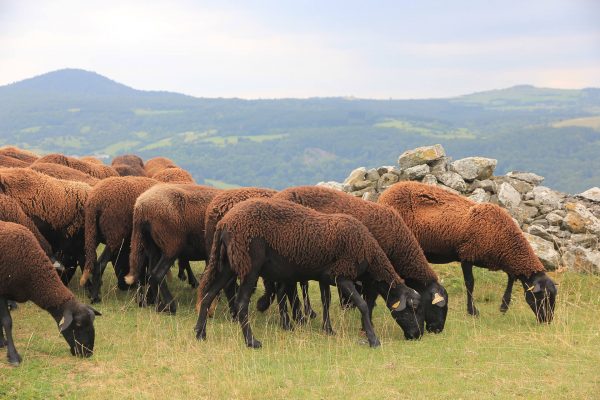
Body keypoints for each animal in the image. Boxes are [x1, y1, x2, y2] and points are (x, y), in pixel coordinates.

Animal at [0, 222, 101, 366]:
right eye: (78, 325)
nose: (88, 353)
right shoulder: (2, 291)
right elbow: (7, 321)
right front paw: (13, 356)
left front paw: (1, 342)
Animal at [124, 184, 220, 312]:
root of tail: (141, 206)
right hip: (171, 244)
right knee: (157, 275)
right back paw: (169, 306)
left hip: (153, 246)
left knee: (150, 273)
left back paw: (156, 304)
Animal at [196, 198, 422, 348]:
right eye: (413, 309)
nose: (418, 335)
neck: (368, 251)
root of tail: (224, 223)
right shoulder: (343, 275)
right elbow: (363, 305)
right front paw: (373, 339)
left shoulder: (326, 276)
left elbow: (326, 301)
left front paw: (328, 330)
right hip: (250, 266)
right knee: (241, 304)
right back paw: (252, 341)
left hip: (227, 265)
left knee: (208, 296)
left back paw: (200, 333)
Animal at [274, 187, 448, 334]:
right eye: (438, 306)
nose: (437, 329)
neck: (398, 245)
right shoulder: (373, 273)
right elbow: (369, 300)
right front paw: (366, 326)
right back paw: (299, 318)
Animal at [380, 181, 556, 322]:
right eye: (543, 297)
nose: (547, 320)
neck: (502, 235)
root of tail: (385, 194)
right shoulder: (467, 255)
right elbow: (470, 283)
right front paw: (473, 312)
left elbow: (511, 277)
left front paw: (503, 306)